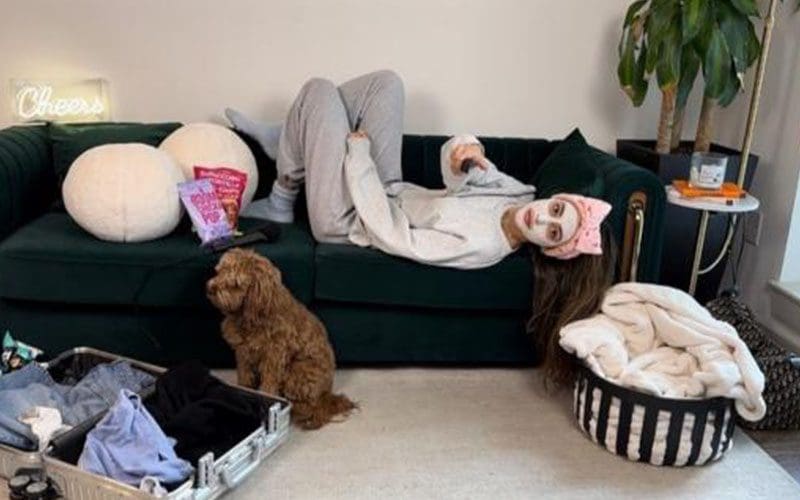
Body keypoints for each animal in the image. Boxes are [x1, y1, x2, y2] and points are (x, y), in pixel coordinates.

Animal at [206, 248, 356, 428]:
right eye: (220, 271)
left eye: (235, 283)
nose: (210, 288)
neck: (253, 313)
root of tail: (326, 394)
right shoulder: (243, 354)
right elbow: (244, 376)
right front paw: (243, 390)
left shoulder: (274, 357)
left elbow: (269, 385)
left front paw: (266, 399)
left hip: (297, 372)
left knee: (308, 404)